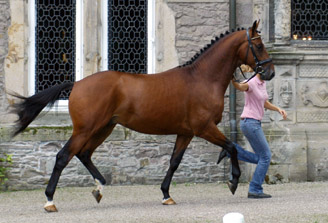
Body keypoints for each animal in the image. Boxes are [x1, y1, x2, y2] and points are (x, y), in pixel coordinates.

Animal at [10, 20, 274, 212]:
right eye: (259, 45)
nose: (270, 72)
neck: (202, 78)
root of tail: (77, 84)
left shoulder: (186, 132)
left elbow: (174, 162)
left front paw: (166, 195)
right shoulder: (204, 128)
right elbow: (231, 147)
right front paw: (233, 182)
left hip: (103, 128)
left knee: (84, 154)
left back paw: (99, 188)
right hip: (86, 129)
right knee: (64, 156)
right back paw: (50, 201)